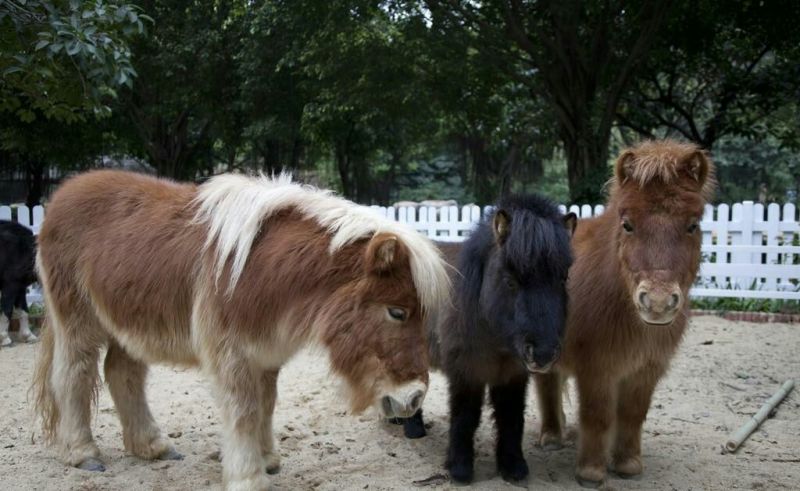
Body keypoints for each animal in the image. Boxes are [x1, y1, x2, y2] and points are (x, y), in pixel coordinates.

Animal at [31, 170, 450, 491]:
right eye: (397, 312)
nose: (415, 397)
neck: (266, 271)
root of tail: (64, 193)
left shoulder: (265, 353)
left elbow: (266, 404)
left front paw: (267, 460)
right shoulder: (231, 355)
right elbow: (244, 411)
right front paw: (248, 477)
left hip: (129, 324)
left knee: (123, 374)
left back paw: (152, 446)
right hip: (78, 322)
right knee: (74, 376)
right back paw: (83, 454)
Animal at [396, 195, 576, 483]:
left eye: (563, 278)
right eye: (511, 280)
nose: (544, 353)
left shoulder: (513, 375)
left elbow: (510, 417)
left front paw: (513, 467)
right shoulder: (466, 372)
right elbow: (465, 417)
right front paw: (460, 469)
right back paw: (412, 428)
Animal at [534, 140, 714, 487]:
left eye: (693, 225)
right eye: (627, 225)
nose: (657, 302)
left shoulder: (646, 369)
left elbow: (632, 415)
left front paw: (628, 464)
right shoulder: (597, 368)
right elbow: (598, 415)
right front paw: (591, 471)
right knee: (546, 383)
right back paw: (551, 437)